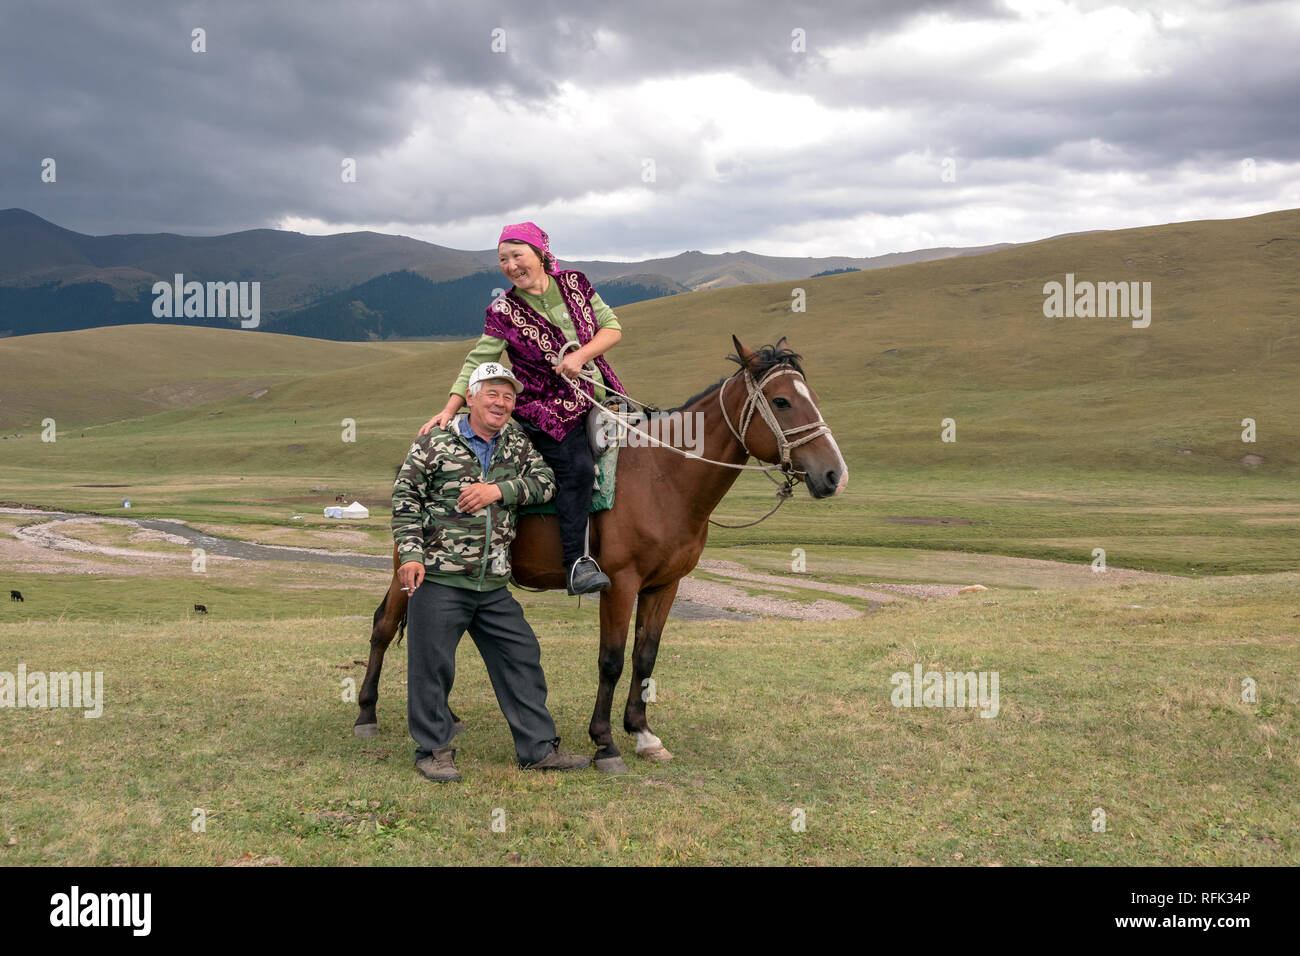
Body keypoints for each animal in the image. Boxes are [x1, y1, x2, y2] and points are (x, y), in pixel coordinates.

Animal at [353, 335, 848, 773]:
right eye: (782, 402)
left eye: (813, 397)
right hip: (408, 566)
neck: (665, 477)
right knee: (384, 627)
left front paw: (643, 734)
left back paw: (449, 718)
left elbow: (645, 656)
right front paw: (604, 743)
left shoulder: (665, 586)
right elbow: (611, 660)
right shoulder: (620, 583)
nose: (834, 475)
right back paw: (366, 715)